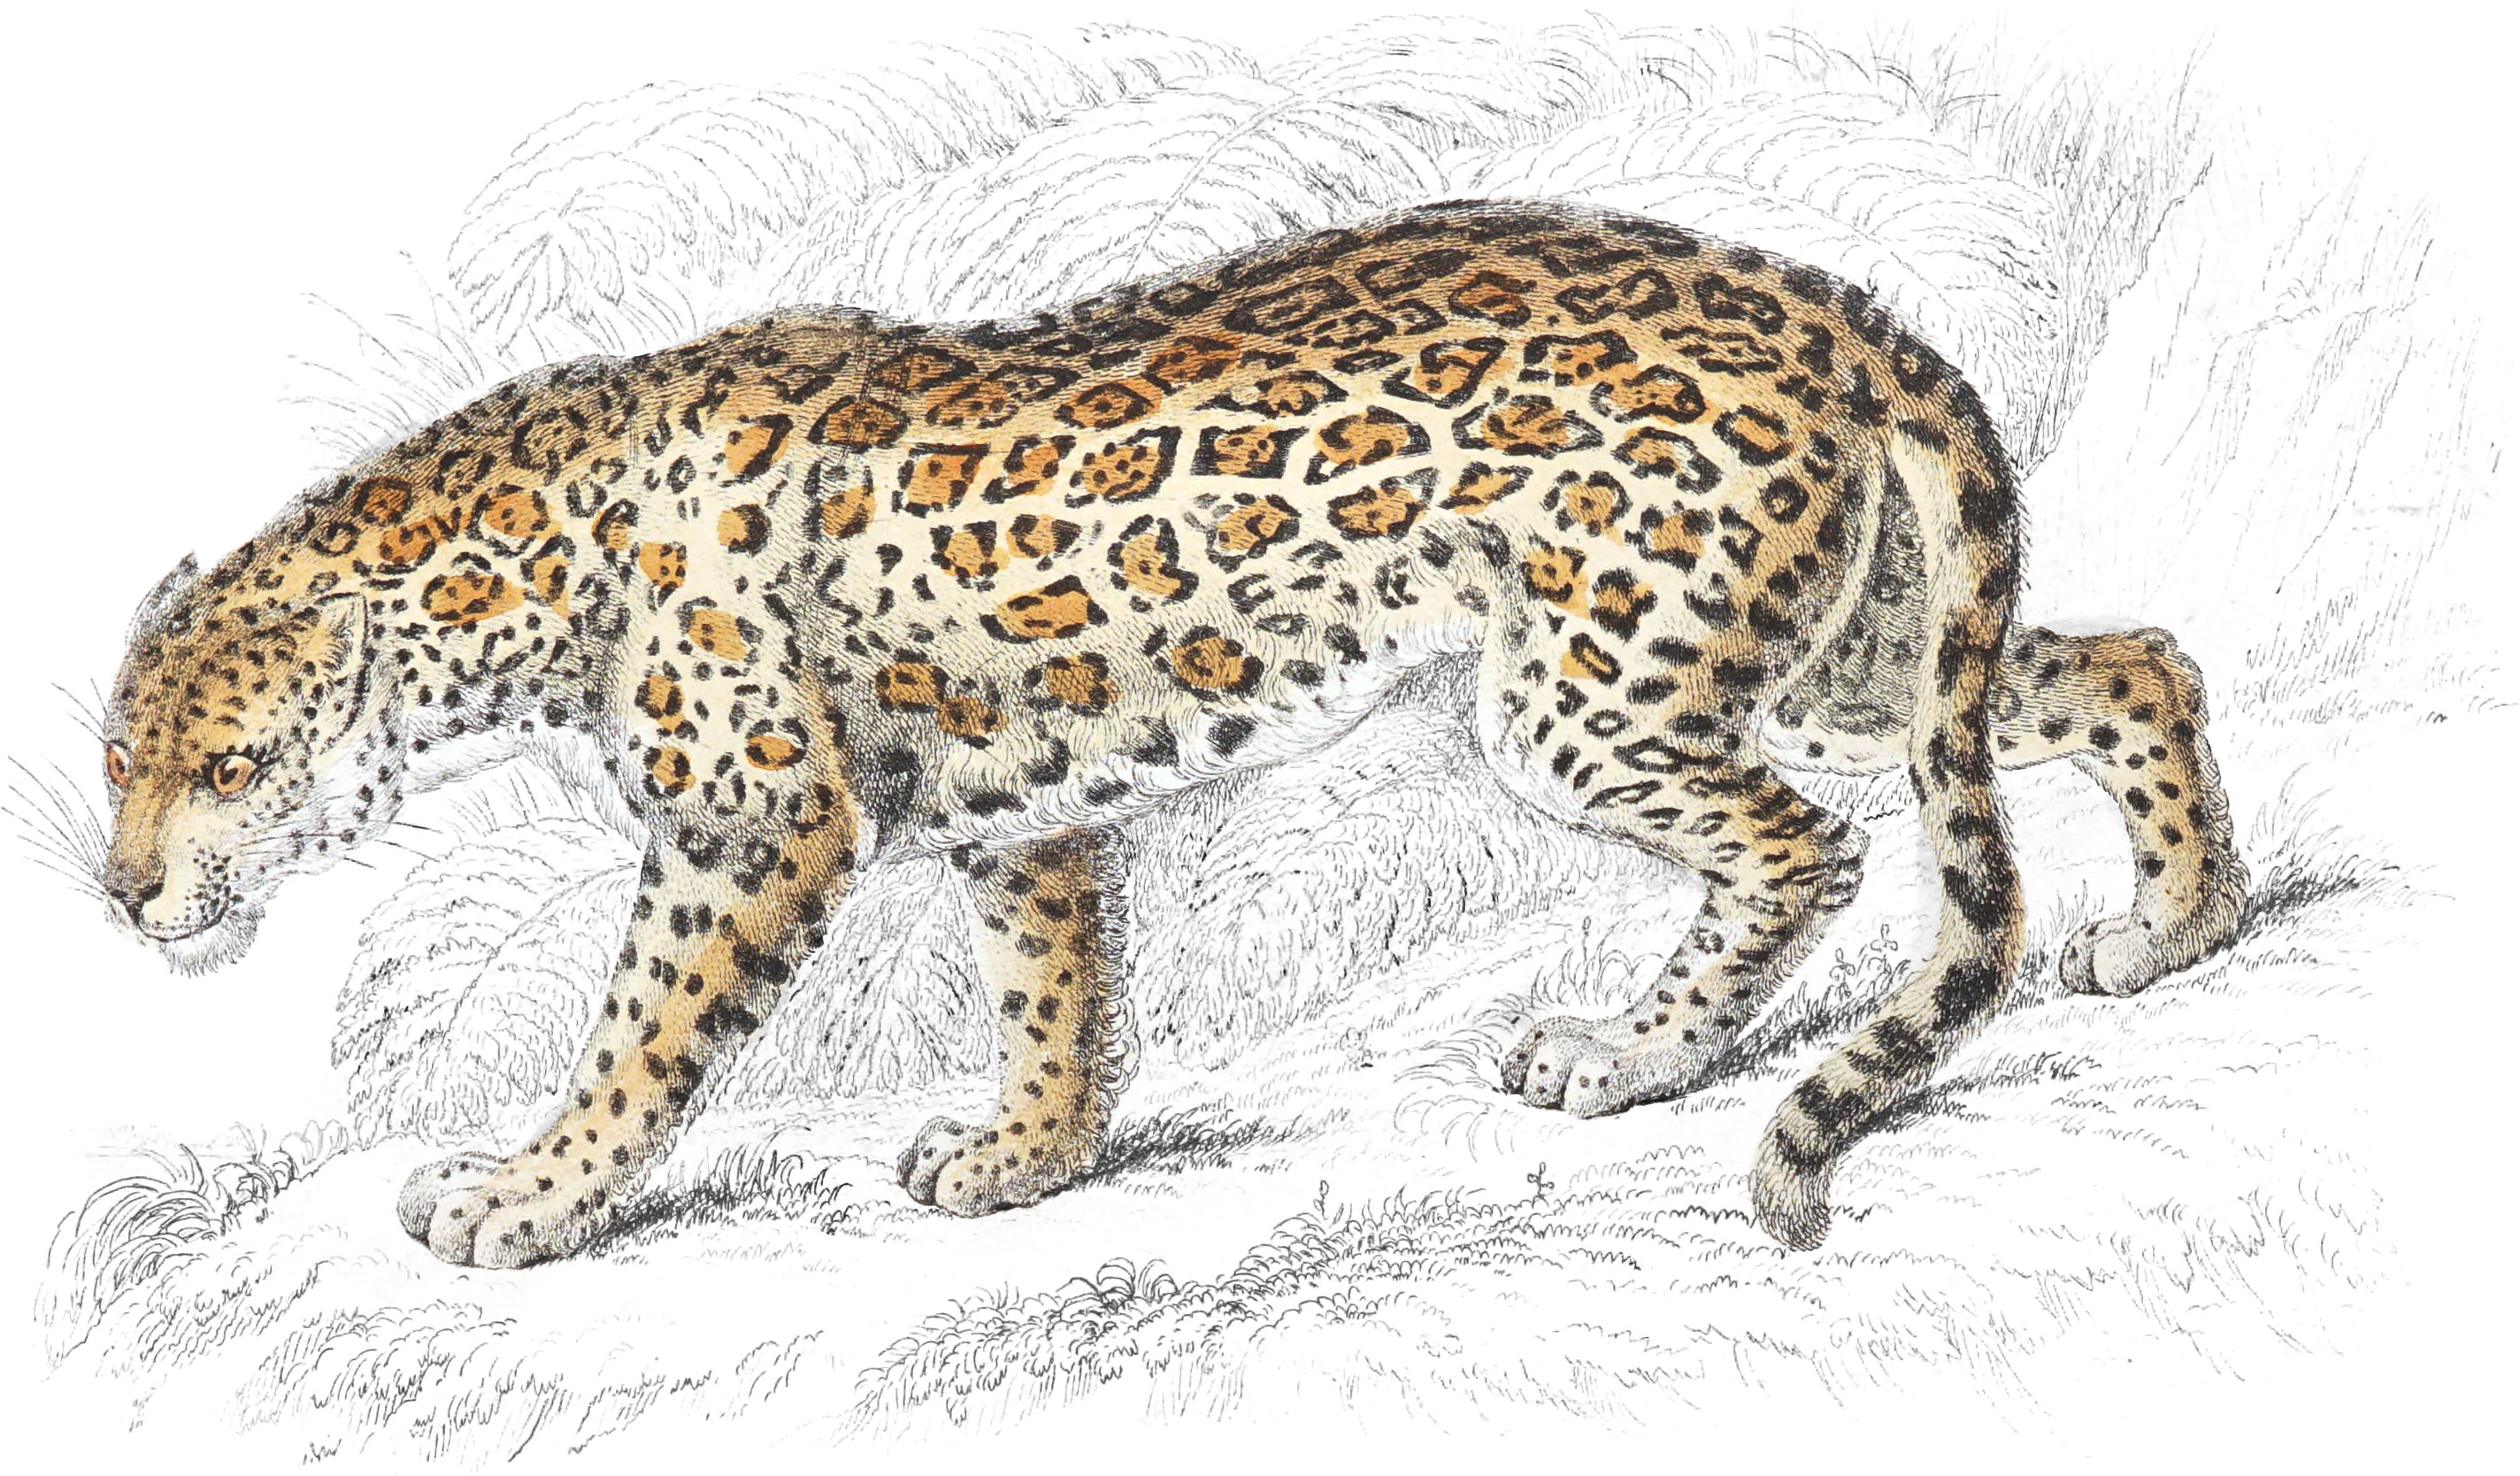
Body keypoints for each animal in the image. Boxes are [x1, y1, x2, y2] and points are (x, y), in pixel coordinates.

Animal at [93, 201, 2247, 1265]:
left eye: (229, 771)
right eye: (115, 762)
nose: (119, 899)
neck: (515, 569)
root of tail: (1828, 311)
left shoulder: (750, 822)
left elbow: (637, 1036)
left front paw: (523, 1201)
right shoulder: (1010, 796)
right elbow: (1051, 984)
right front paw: (1028, 1156)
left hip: (1592, 688)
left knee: (1803, 845)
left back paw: (1631, 1057)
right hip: (1852, 645)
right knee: (2125, 663)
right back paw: (2178, 925)